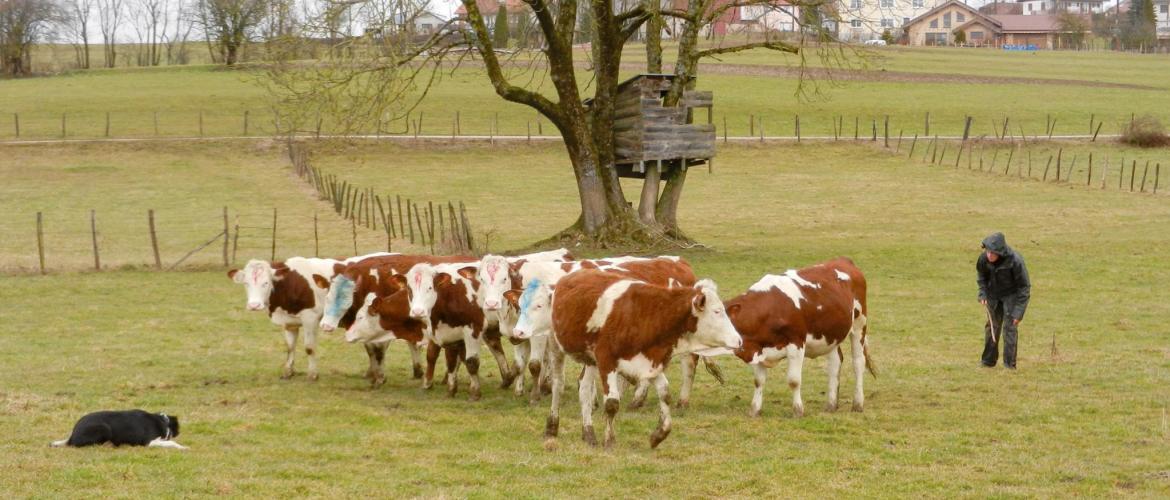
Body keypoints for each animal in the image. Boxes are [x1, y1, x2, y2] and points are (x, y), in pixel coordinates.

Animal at [545, 270, 739, 449]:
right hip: (556, 345)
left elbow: (665, 394)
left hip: (589, 359)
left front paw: (658, 435)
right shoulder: (606, 360)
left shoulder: (649, 363)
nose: (739, 340)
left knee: (584, 389)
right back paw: (552, 426)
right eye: (717, 311)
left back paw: (588, 433)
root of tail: (566, 278)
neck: (644, 315)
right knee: (557, 385)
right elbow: (612, 403)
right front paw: (610, 440)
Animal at [725, 258, 875, 419]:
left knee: (858, 362)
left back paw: (858, 404)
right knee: (835, 363)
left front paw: (798, 411)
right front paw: (754, 410)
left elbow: (794, 381)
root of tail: (843, 260)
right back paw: (831, 405)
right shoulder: (758, 349)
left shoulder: (796, 344)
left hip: (859, 324)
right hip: (831, 335)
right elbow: (759, 381)